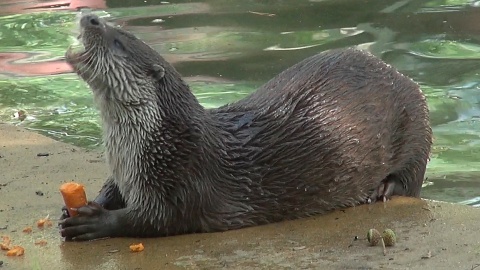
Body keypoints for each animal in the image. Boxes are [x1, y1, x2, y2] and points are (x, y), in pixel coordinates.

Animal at [59, 13, 432, 240]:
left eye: (119, 41)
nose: (89, 17)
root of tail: (396, 73)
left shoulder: (184, 177)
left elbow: (156, 219)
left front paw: (95, 221)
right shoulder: (125, 171)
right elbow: (112, 190)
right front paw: (81, 205)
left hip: (416, 121)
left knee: (411, 176)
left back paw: (383, 190)